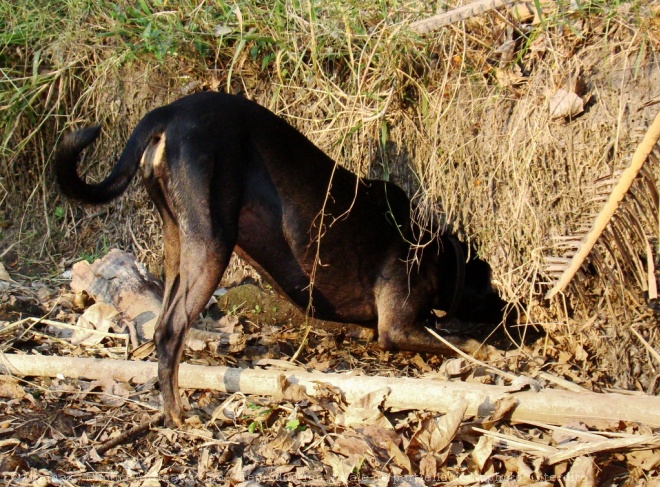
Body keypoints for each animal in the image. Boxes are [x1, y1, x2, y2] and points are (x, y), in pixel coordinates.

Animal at [58, 91, 506, 428]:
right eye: (489, 282)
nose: (510, 310)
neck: (438, 252)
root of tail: (167, 111)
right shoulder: (396, 327)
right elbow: (459, 341)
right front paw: (491, 353)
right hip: (212, 241)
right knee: (170, 331)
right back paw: (176, 415)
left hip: (176, 238)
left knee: (161, 324)